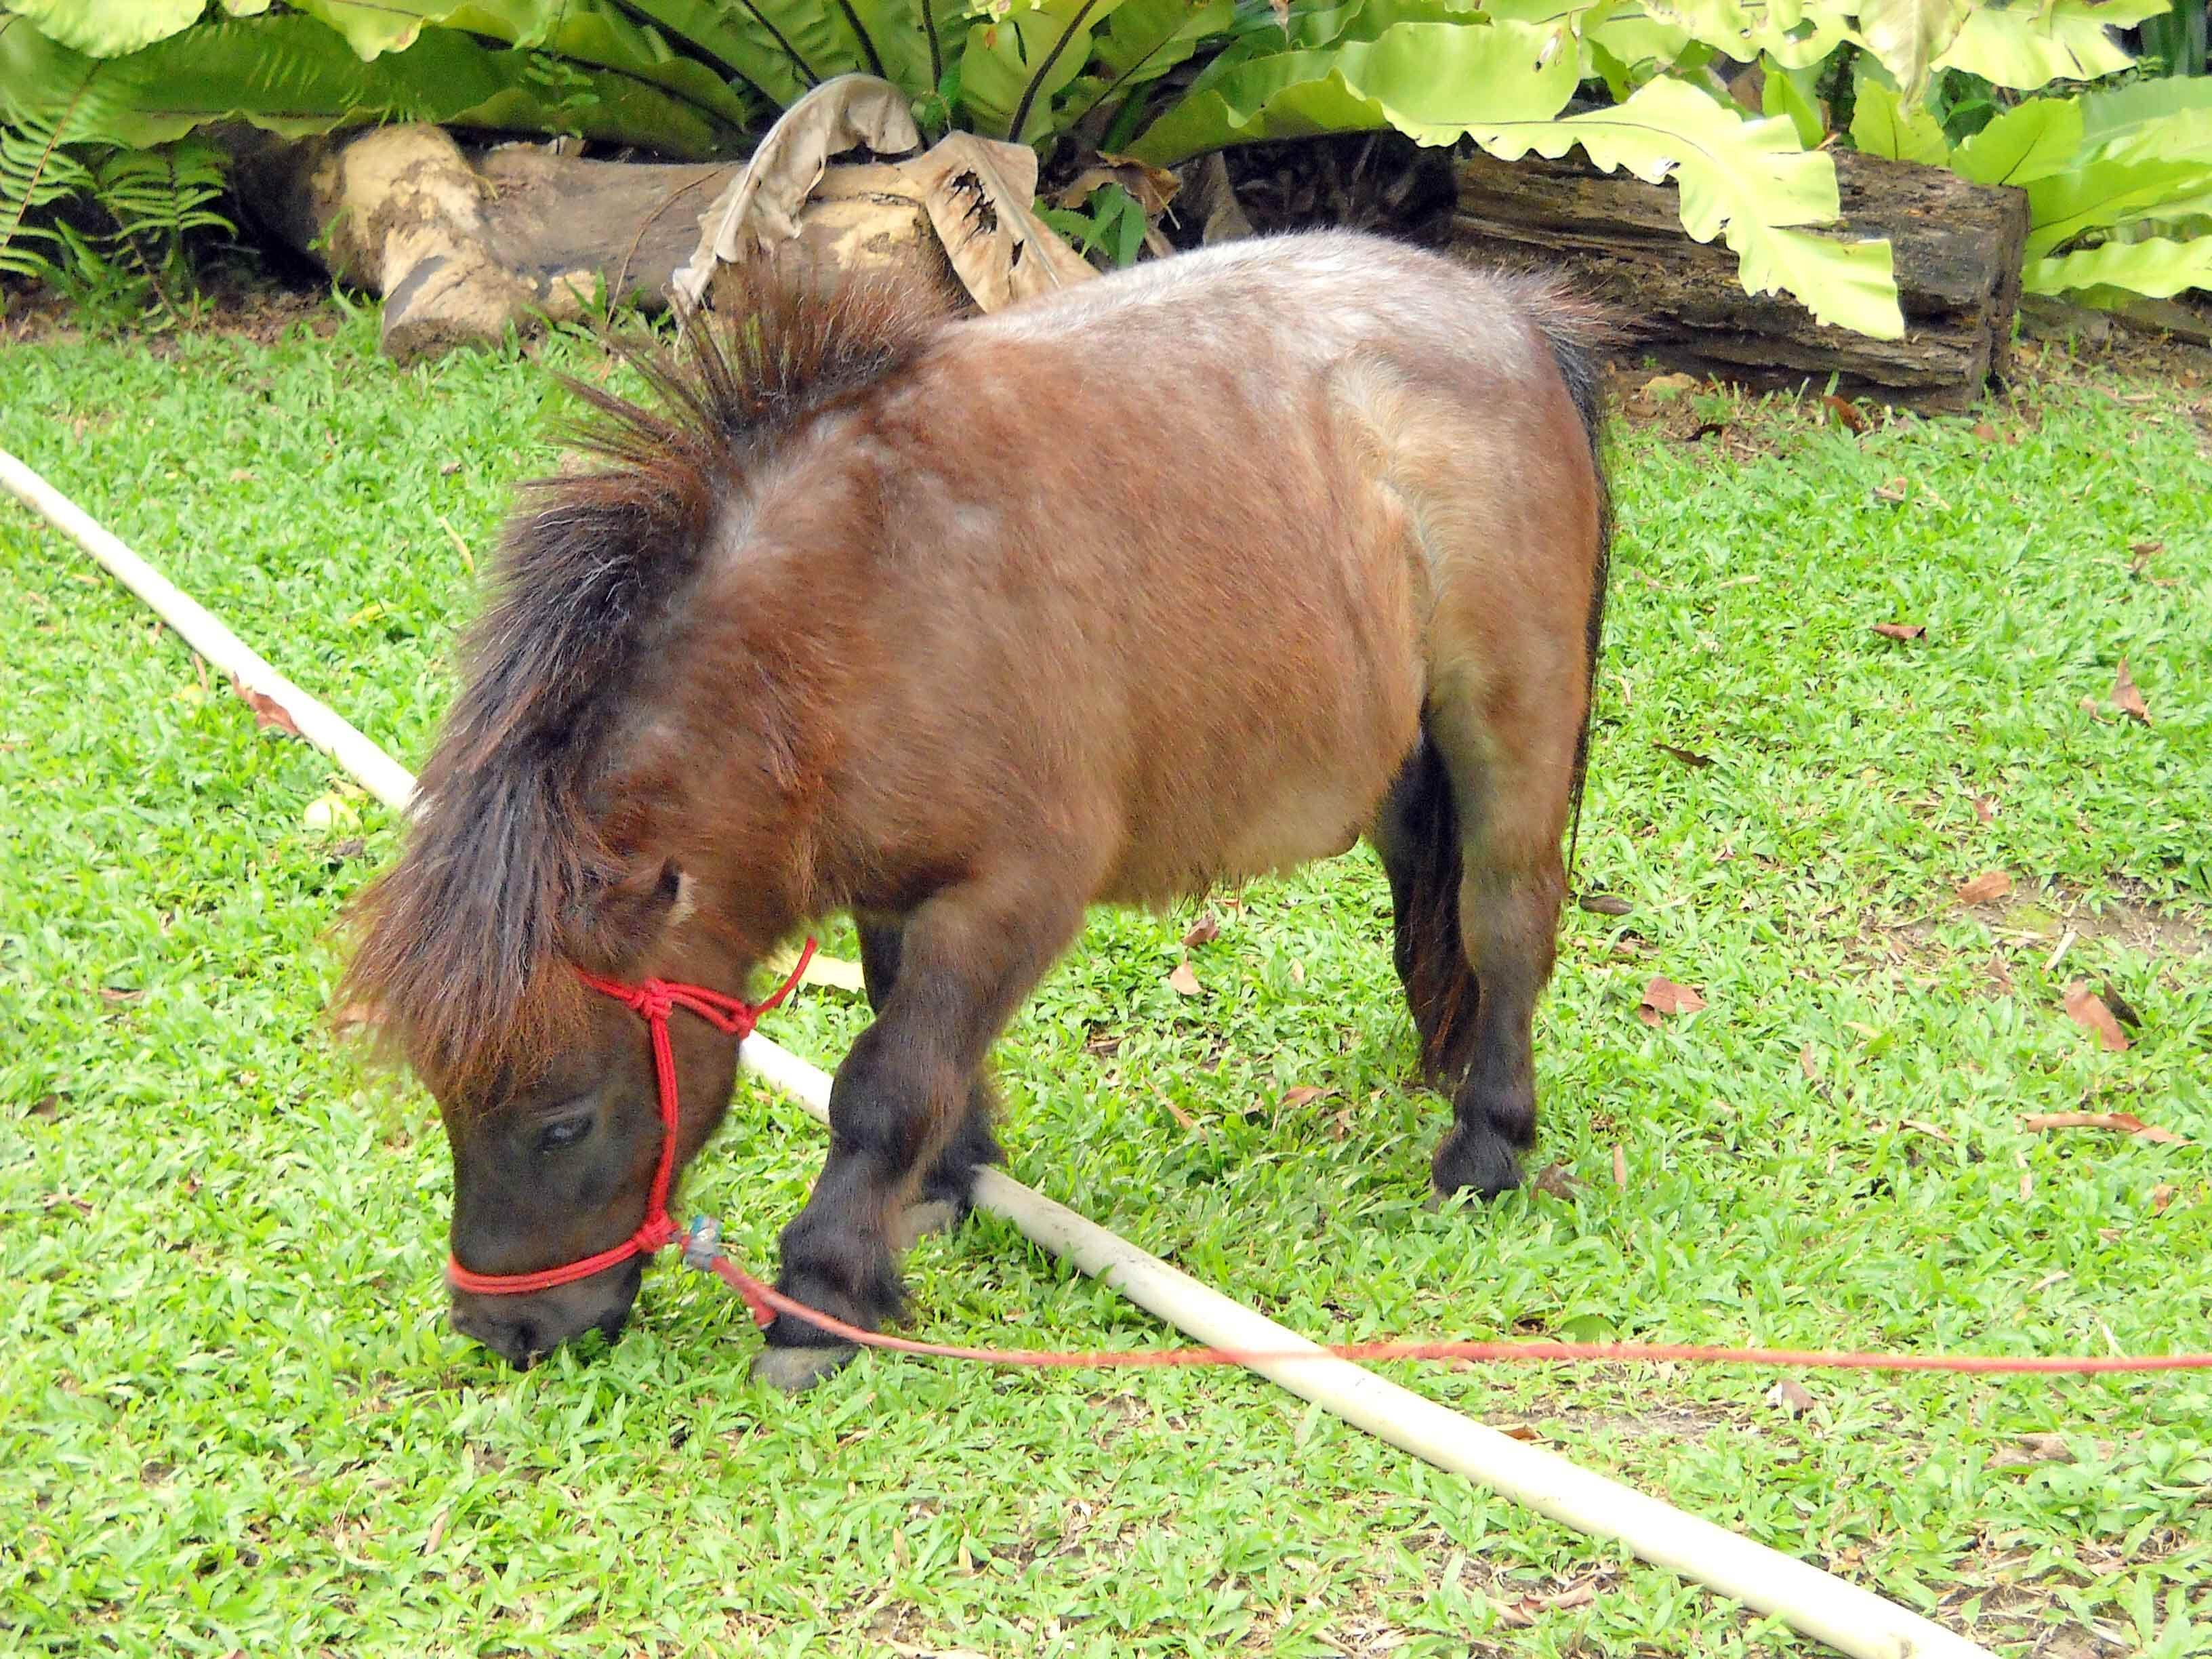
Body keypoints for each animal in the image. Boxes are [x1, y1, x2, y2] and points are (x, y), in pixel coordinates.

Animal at [342, 229, 1613, 1387]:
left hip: (1505, 729)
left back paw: (1488, 1141)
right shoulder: (895, 886)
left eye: (562, 1120)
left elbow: (885, 1085)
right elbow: (912, 1041)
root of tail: (1509, 313)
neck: (853, 614)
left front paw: (821, 1294)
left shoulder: (1013, 895)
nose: (503, 1331)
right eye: (446, 1099)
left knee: (1505, 920)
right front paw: (940, 1188)